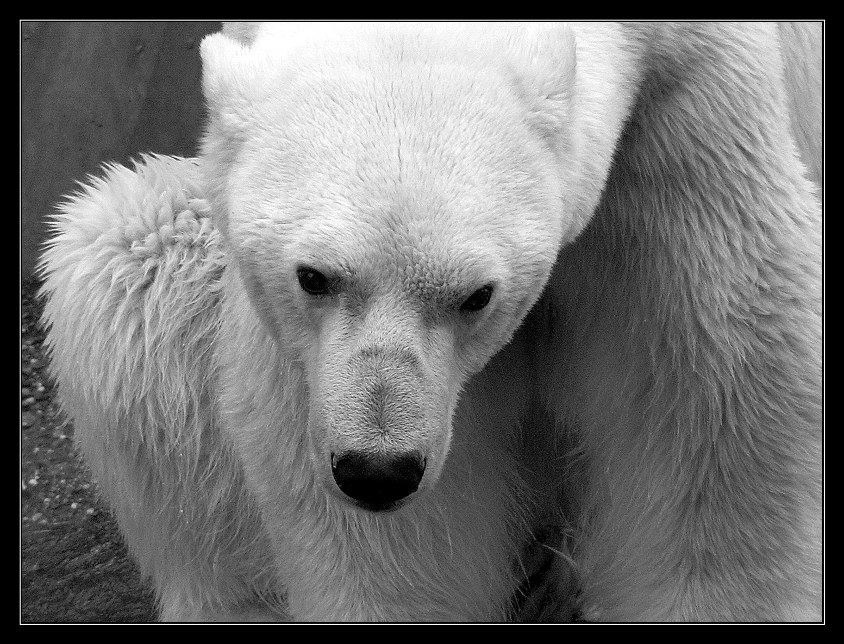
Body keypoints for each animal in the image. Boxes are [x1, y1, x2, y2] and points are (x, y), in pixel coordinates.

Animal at [38, 22, 816, 620]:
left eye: (478, 295)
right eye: (314, 276)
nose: (377, 471)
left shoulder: (685, 120)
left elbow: (706, 417)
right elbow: (390, 543)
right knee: (119, 256)